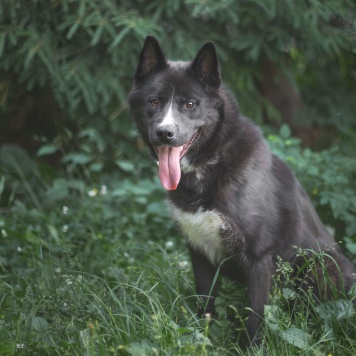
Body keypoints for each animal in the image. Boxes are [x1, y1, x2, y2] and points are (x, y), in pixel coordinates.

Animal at [127, 36, 354, 344]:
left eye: (190, 104)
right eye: (154, 102)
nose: (165, 133)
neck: (214, 159)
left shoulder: (259, 257)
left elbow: (256, 315)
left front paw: (251, 347)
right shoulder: (199, 251)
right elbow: (205, 302)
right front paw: (202, 337)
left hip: (318, 267)